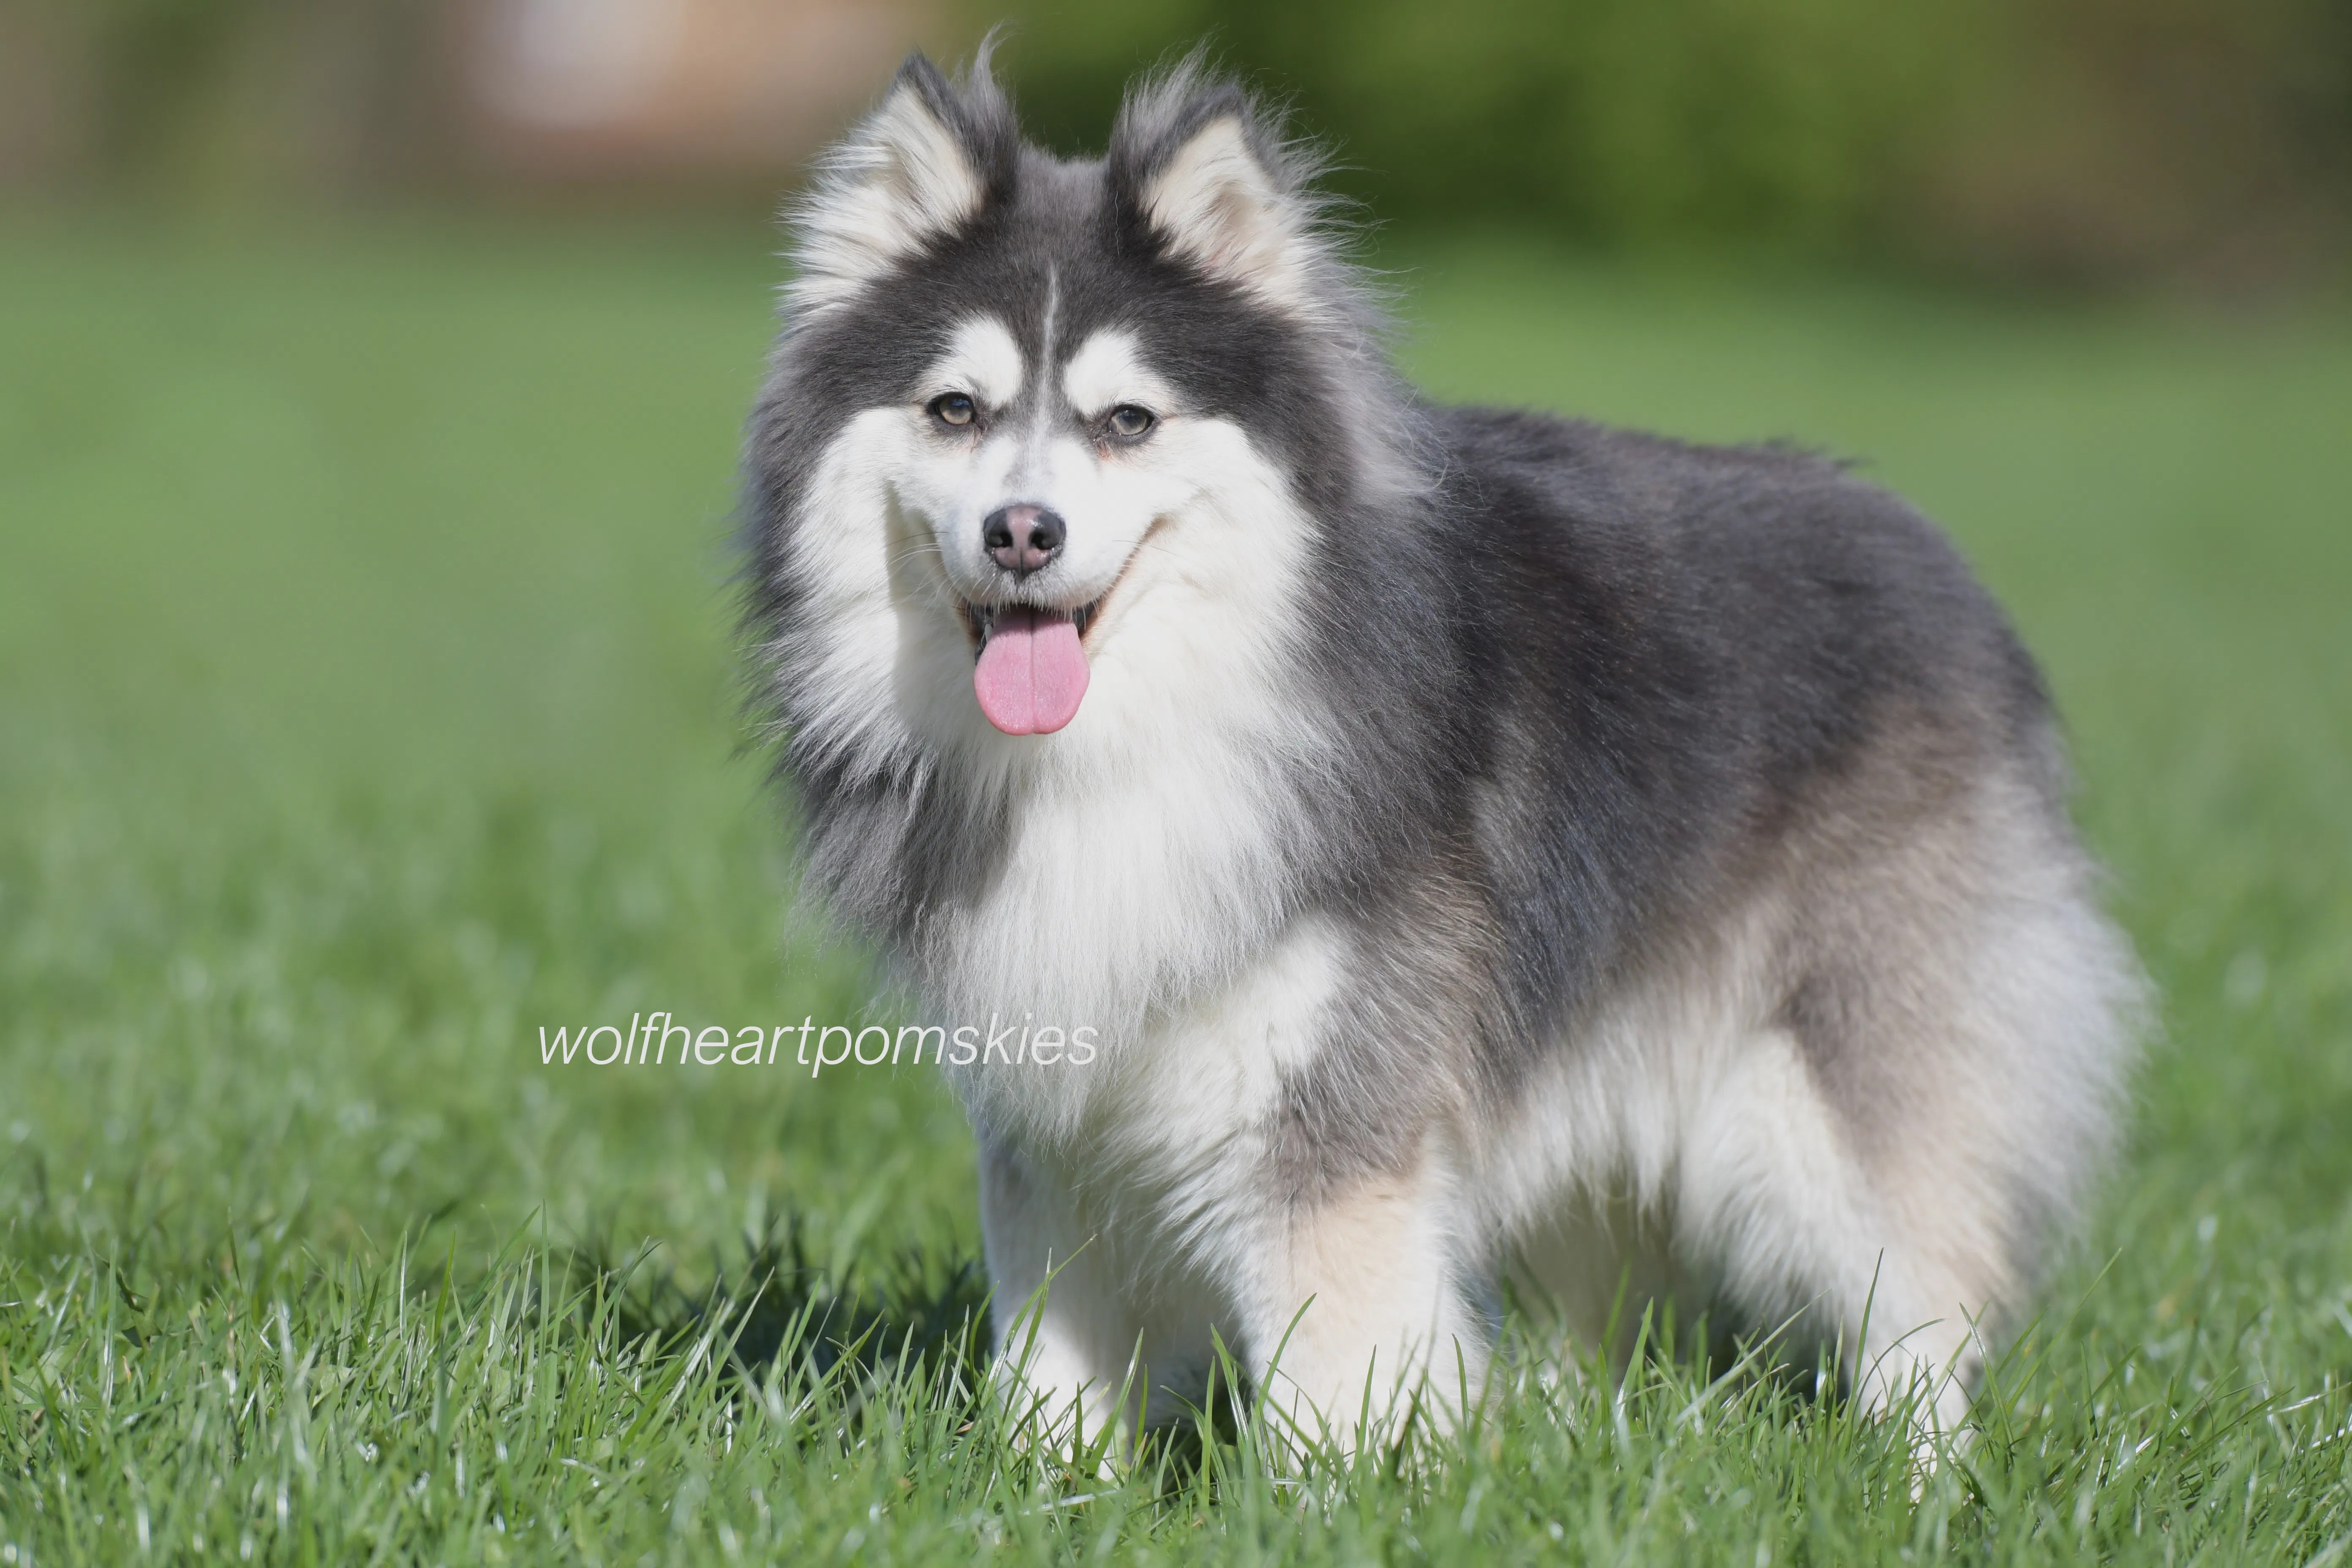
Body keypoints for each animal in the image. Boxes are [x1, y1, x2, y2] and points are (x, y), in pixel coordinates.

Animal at [741, 48, 2143, 1451]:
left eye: (1128, 421)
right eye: (955, 410)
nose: (1022, 533)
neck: (1131, 739)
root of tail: (1930, 551)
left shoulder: (1327, 1102)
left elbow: (1330, 1369)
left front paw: (1332, 1487)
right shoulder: (1054, 1107)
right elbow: (1051, 1353)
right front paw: (1052, 1478)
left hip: (1828, 1084)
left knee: (1923, 1291)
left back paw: (1916, 1470)